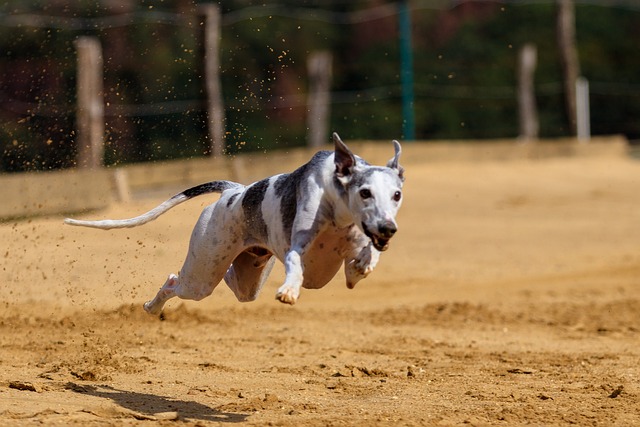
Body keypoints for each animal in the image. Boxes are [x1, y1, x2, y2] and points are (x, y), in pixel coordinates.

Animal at [65, 133, 404, 314]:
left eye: (397, 194)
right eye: (364, 192)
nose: (388, 229)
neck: (338, 208)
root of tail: (233, 190)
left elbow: (366, 256)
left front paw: (361, 266)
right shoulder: (298, 246)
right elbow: (295, 262)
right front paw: (289, 290)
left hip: (247, 278)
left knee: (231, 280)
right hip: (201, 276)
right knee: (177, 281)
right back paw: (153, 306)